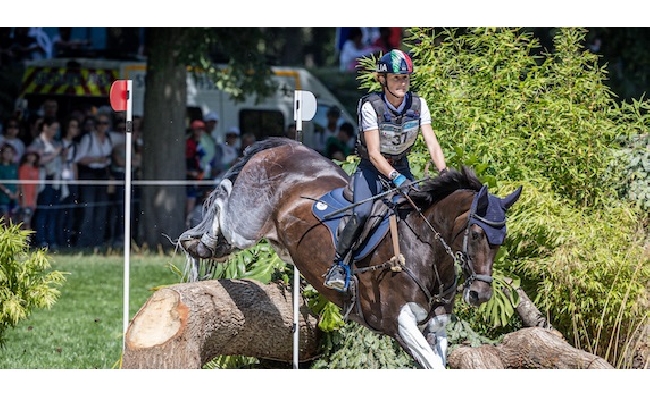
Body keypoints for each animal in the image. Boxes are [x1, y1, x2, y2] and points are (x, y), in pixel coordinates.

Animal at [178, 138, 520, 368]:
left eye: (501, 240)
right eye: (476, 235)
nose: (480, 294)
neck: (425, 248)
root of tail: (283, 146)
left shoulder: (436, 324)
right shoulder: (399, 321)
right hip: (246, 226)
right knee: (219, 205)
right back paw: (196, 248)